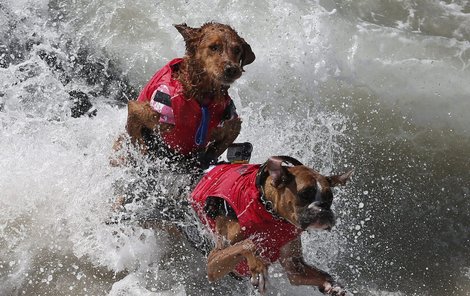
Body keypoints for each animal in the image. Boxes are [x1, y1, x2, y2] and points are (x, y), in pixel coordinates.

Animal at [191, 156, 352, 294]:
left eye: (330, 198)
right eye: (305, 193)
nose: (323, 208)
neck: (268, 210)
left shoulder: (295, 269)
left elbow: (320, 275)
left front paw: (333, 286)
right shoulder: (213, 261)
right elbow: (248, 244)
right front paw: (258, 267)